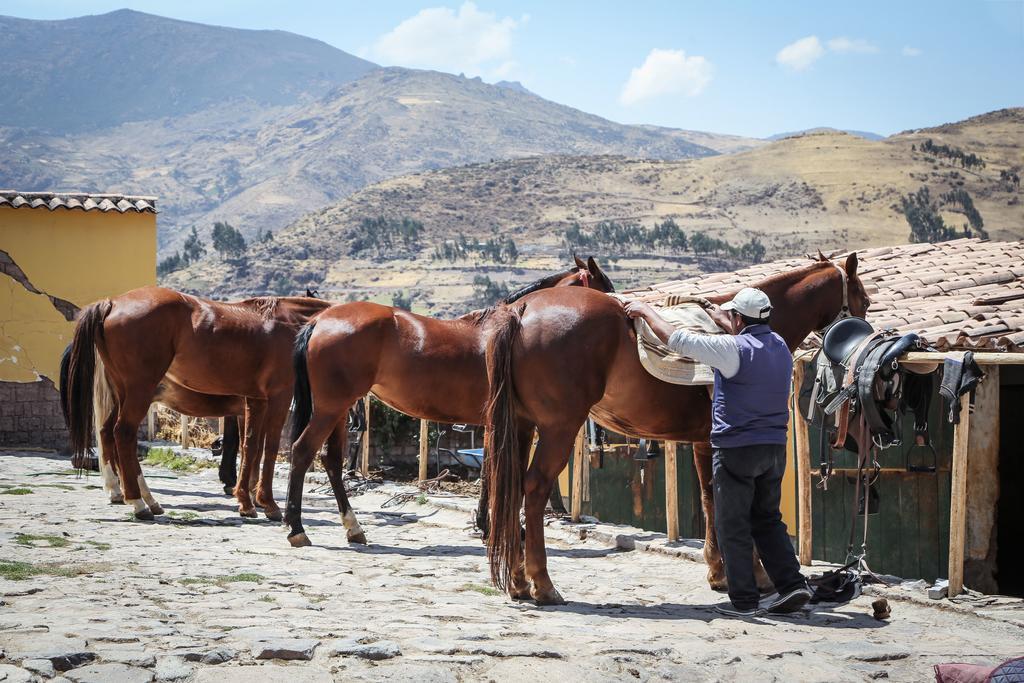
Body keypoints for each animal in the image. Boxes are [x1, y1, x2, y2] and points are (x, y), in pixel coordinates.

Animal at [60, 286, 331, 518]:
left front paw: (246, 500)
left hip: (125, 393)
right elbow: (268, 448)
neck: (290, 324)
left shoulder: (255, 401)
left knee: (109, 433)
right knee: (122, 433)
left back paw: (138, 497)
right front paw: (267, 503)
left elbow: (250, 448)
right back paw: (138, 502)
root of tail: (112, 303)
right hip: (139, 391)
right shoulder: (277, 397)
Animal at [284, 259, 610, 548]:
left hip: (338, 410)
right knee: (301, 452)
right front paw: (497, 528)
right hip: (330, 409)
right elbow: (497, 472)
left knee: (330, 460)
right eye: (606, 289)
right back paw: (297, 529)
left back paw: (353, 528)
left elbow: (492, 471)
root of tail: (319, 321)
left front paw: (488, 526)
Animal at [483, 254, 868, 602]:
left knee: (512, 488)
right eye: (864, 300)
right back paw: (543, 584)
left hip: (522, 428)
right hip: (558, 429)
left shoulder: (705, 442)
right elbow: (733, 502)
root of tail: (522, 312)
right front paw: (756, 576)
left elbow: (710, 497)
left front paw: (719, 572)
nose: (862, 343)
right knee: (534, 489)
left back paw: (518, 581)